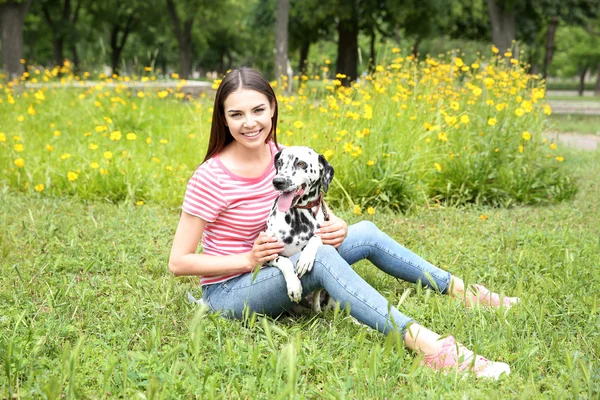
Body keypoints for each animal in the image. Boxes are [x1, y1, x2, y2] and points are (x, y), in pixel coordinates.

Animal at [266, 145, 336, 304]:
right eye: (279, 162)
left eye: (301, 164)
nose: (277, 181)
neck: (298, 218)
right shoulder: (266, 257)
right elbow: (284, 261)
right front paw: (294, 286)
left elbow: (316, 238)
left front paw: (305, 258)